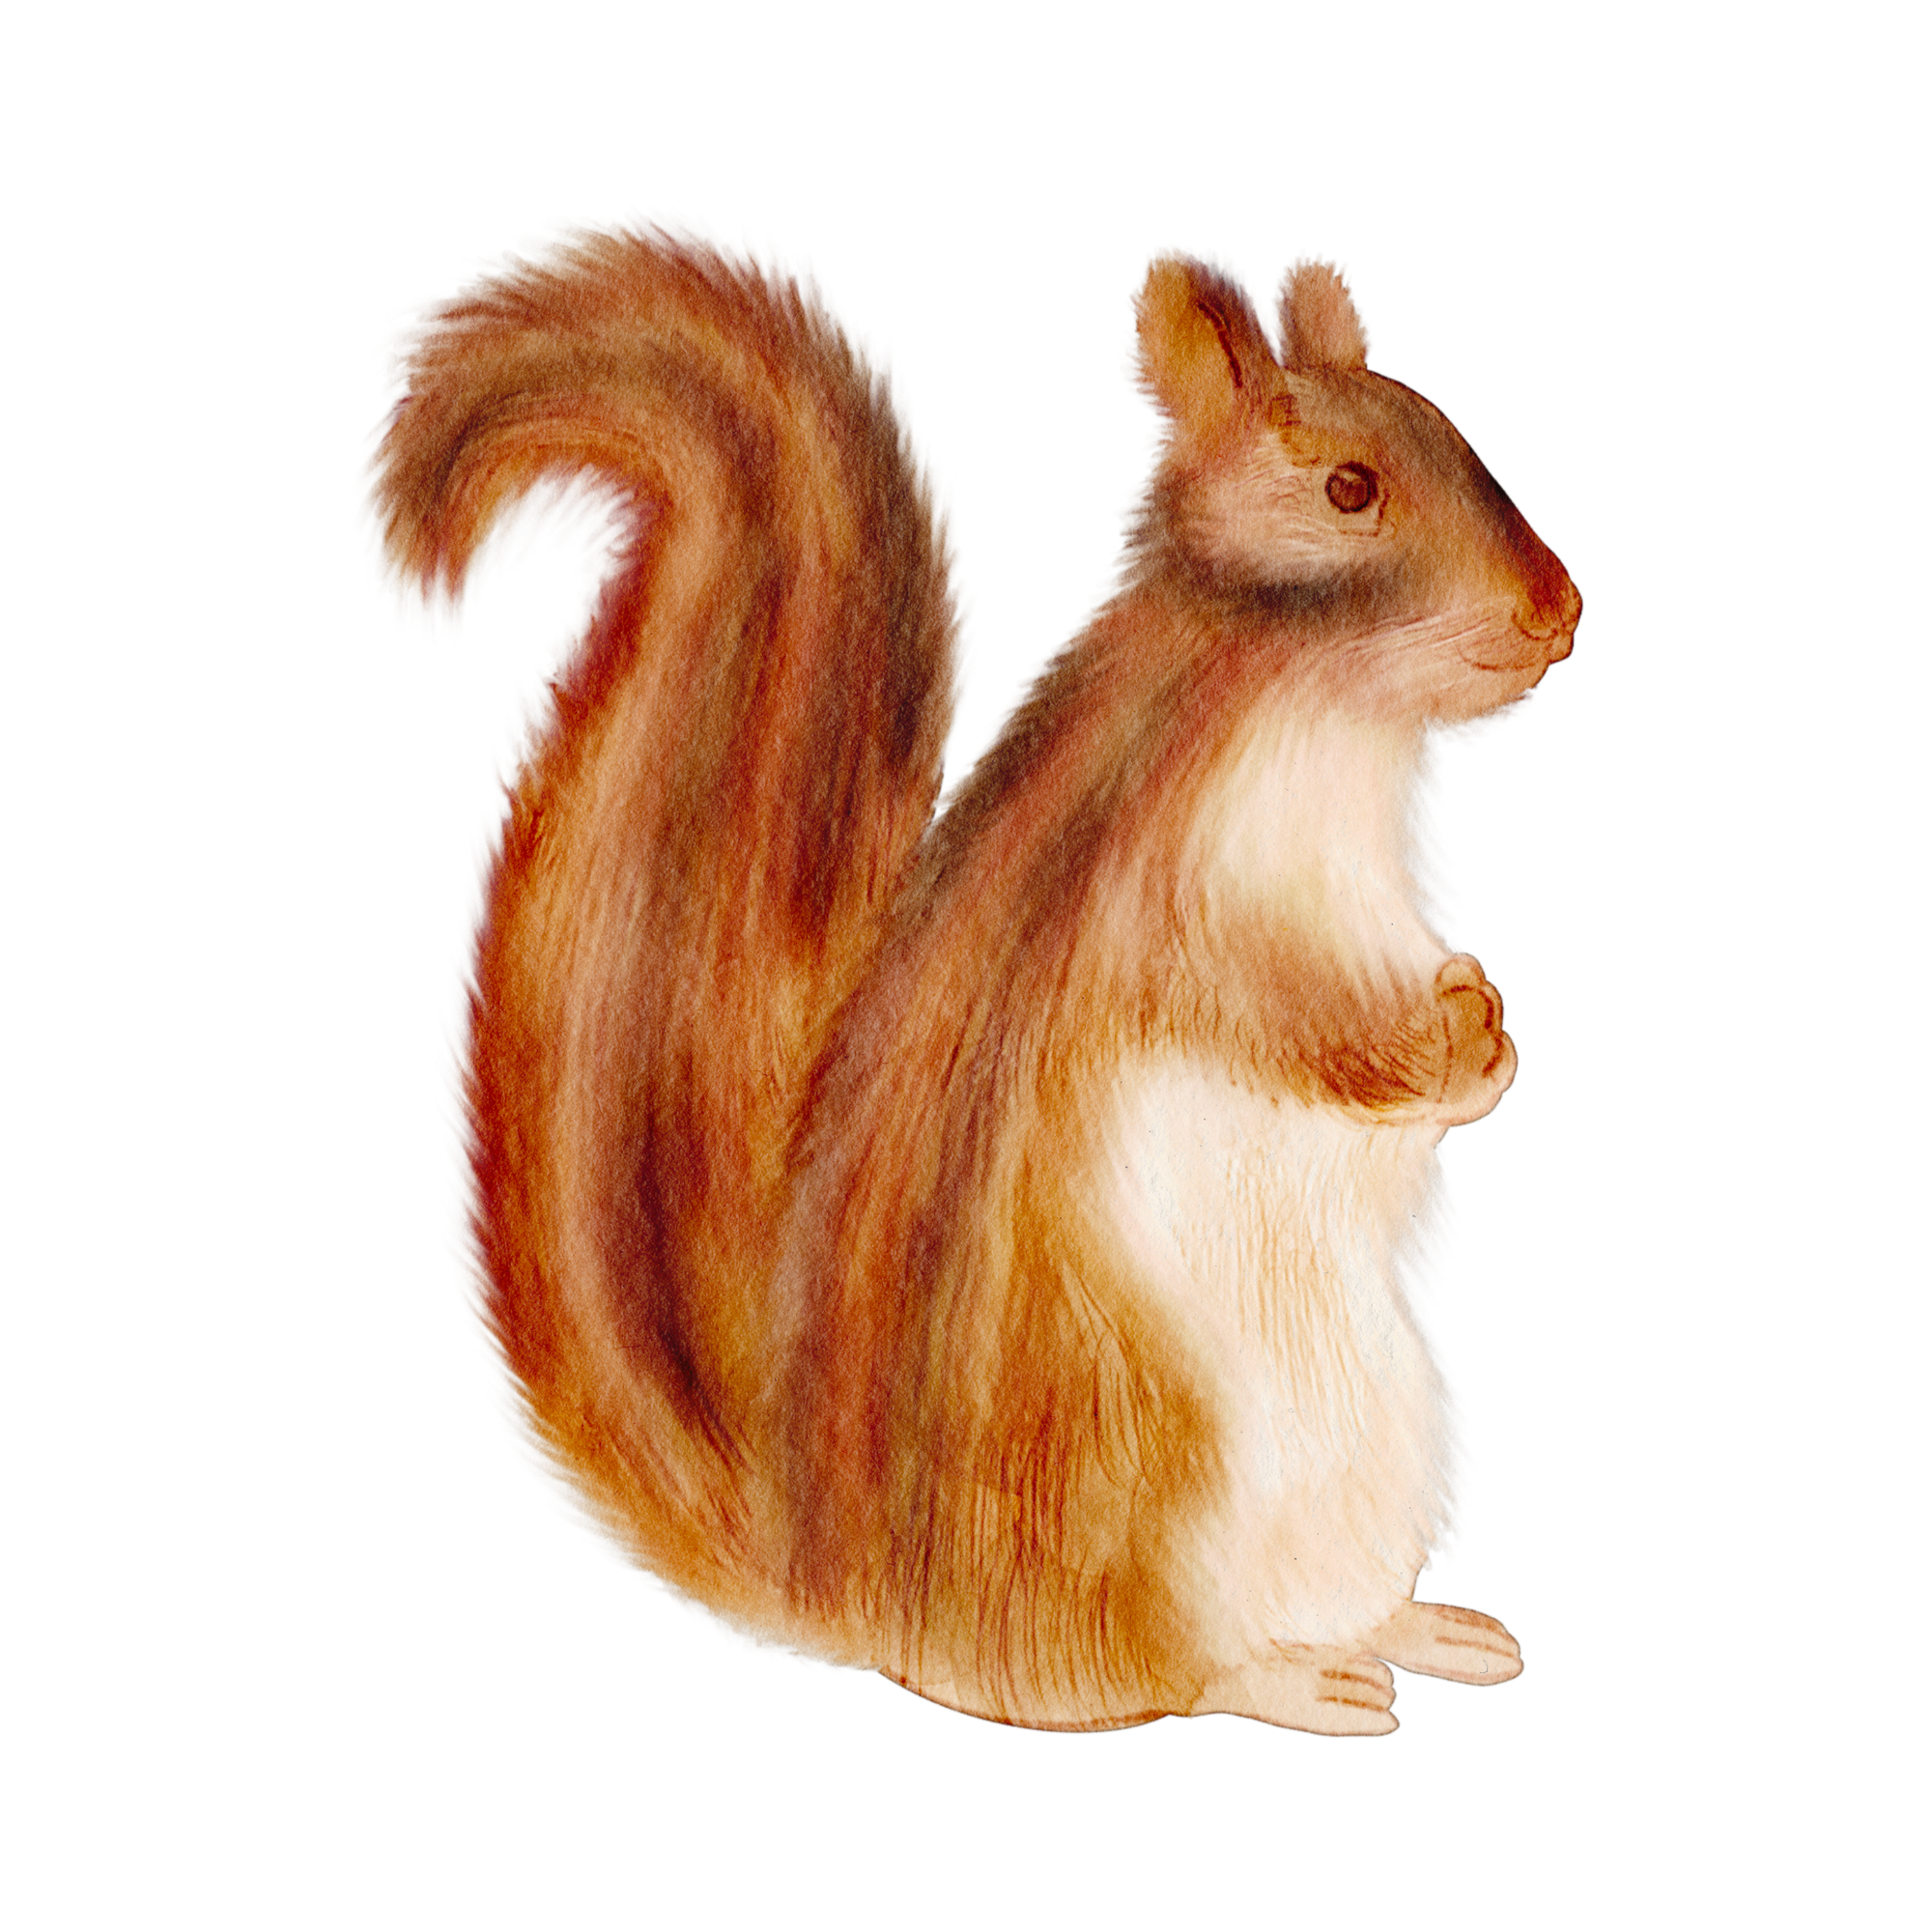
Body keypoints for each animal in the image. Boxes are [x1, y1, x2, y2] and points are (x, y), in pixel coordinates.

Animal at [356, 208, 1582, 1734]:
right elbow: (1285, 1013)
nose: (1559, 609)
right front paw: (1450, 1046)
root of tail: (865, 1590)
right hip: (1150, 1476)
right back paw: (1312, 1682)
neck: (1322, 705)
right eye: (1351, 488)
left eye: (1458, 436)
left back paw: (1432, 1632)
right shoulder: (1177, 903)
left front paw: (1493, 1021)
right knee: (1136, 1663)